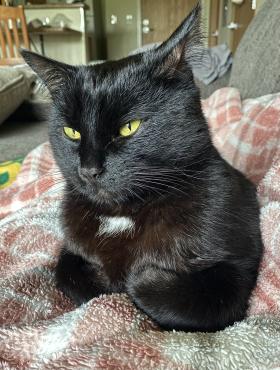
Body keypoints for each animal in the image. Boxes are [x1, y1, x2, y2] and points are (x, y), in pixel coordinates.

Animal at [22, 2, 262, 332]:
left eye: (129, 127)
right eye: (72, 132)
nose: (89, 170)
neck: (123, 214)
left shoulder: (238, 265)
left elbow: (178, 299)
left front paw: (138, 275)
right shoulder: (71, 248)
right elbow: (65, 272)